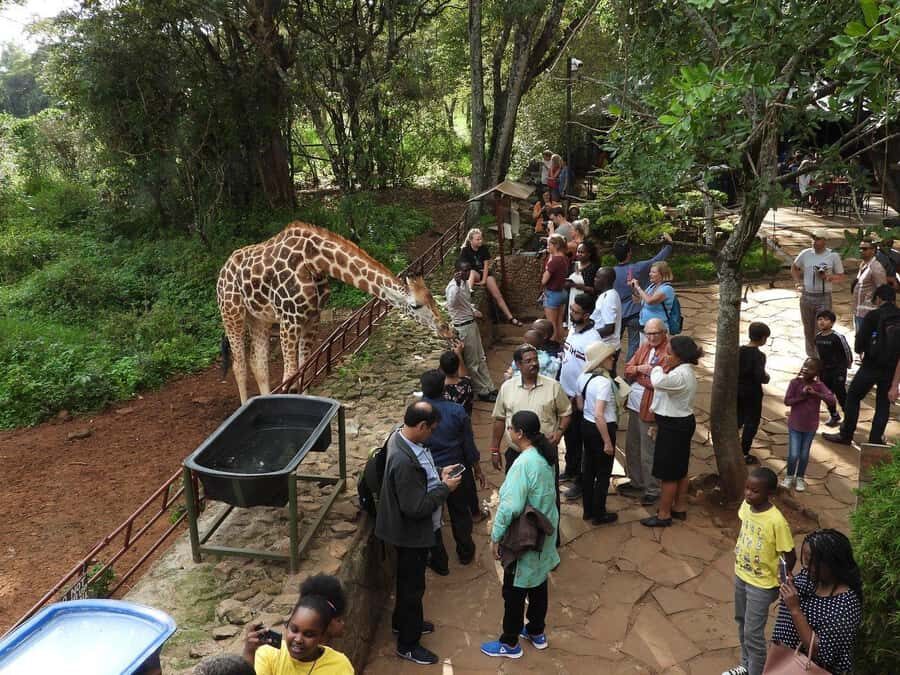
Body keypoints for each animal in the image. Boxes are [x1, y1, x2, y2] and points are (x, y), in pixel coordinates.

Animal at [217, 221, 454, 403]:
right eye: (415, 305)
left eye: (431, 297)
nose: (446, 329)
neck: (315, 260)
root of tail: (222, 270)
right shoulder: (289, 319)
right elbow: (289, 376)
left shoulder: (312, 317)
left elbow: (304, 371)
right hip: (232, 313)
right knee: (239, 365)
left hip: (259, 318)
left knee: (258, 363)